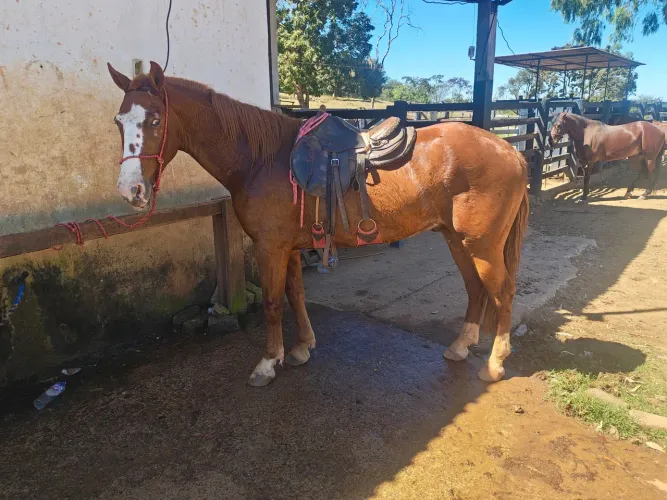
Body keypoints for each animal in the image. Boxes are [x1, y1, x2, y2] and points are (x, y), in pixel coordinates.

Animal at [107, 61, 529, 386]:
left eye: (155, 119)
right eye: (119, 121)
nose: (131, 190)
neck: (262, 160)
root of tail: (509, 150)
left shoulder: (269, 247)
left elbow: (273, 302)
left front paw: (268, 363)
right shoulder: (290, 247)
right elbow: (295, 295)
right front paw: (301, 348)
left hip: (482, 245)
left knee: (503, 292)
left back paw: (494, 365)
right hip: (457, 240)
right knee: (475, 288)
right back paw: (460, 347)